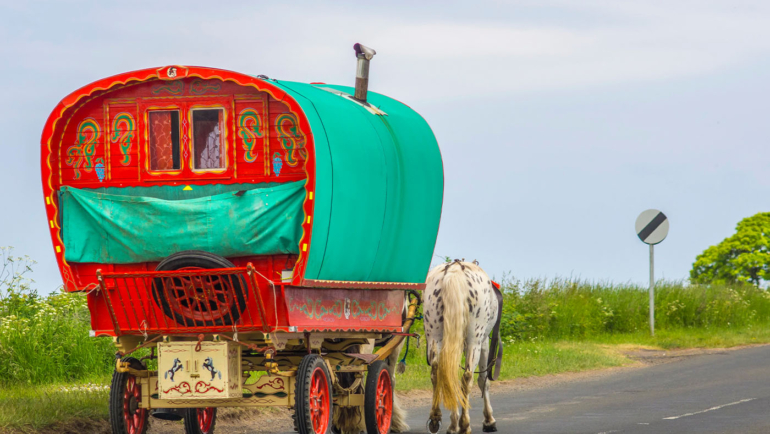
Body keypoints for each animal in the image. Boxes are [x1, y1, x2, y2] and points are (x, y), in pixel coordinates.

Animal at [424, 262, 500, 434]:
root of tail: (454, 271)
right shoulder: (484, 344)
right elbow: (483, 381)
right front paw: (489, 420)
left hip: (435, 337)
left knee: (439, 373)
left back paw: (439, 419)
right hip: (474, 341)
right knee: (467, 378)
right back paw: (464, 424)